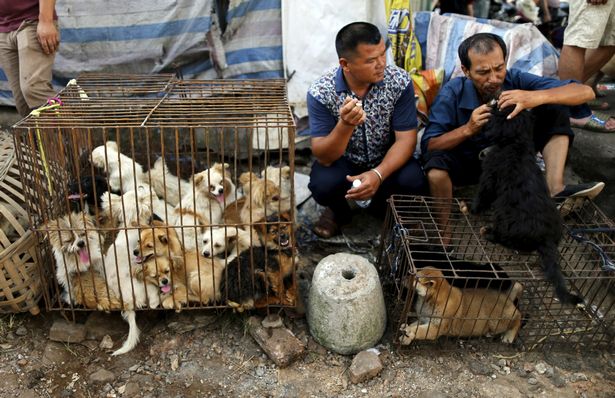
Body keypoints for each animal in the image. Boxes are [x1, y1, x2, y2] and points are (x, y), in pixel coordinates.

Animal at [472, 105, 584, 304]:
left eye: (499, 109)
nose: (493, 102)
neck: (516, 143)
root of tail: (546, 239)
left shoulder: (489, 175)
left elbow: (483, 194)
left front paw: (473, 209)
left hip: (506, 219)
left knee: (505, 239)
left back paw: (489, 233)